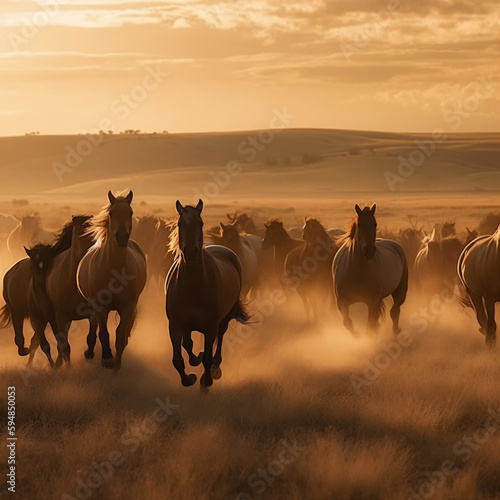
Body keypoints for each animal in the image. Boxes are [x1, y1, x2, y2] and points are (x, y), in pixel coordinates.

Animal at [76, 189, 146, 370]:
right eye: (111, 213)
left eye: (130, 212)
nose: (121, 237)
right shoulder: (100, 308)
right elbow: (104, 334)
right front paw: (107, 359)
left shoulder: (127, 307)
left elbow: (120, 336)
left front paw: (116, 367)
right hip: (92, 306)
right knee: (94, 325)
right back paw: (89, 352)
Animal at [165, 201, 249, 388]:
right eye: (180, 224)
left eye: (201, 223)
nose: (190, 252)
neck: (193, 286)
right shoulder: (176, 325)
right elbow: (179, 356)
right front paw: (188, 378)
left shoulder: (210, 327)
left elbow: (208, 357)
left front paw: (206, 380)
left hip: (225, 318)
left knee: (221, 337)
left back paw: (216, 369)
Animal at [332, 203, 406, 336]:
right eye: (360, 224)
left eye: (375, 224)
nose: (369, 251)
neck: (356, 270)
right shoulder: (342, 302)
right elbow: (347, 322)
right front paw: (357, 335)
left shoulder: (372, 303)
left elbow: (370, 327)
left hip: (400, 293)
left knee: (395, 311)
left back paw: (395, 331)